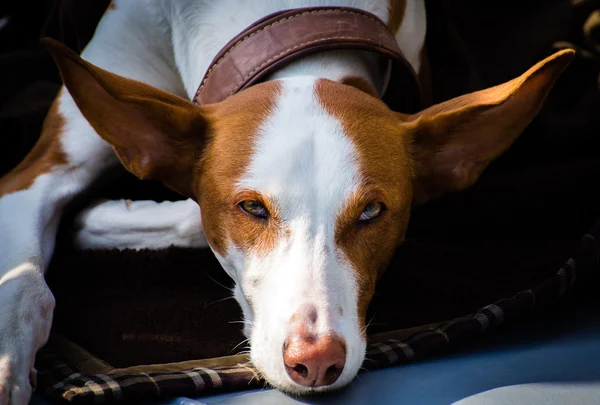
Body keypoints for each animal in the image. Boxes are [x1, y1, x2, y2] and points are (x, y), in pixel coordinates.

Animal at [0, 1, 576, 402]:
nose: (316, 360)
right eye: (253, 208)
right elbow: (24, 282)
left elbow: (185, 218)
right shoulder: (36, 174)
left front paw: (101, 219)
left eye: (371, 212)